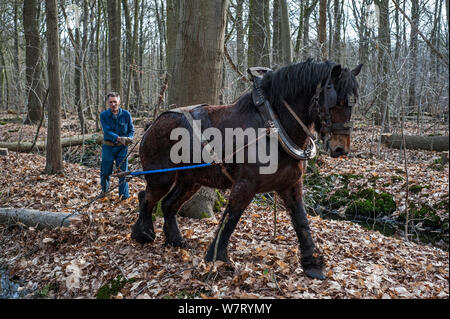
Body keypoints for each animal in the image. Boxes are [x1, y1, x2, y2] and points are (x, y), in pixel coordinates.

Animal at [131, 60, 362, 280]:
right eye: (336, 102)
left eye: (353, 103)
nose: (341, 148)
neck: (273, 126)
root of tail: (152, 124)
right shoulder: (245, 185)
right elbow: (230, 219)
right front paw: (215, 258)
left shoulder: (291, 184)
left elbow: (301, 222)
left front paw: (312, 264)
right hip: (161, 177)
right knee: (146, 197)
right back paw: (143, 234)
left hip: (190, 180)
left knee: (168, 204)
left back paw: (175, 240)